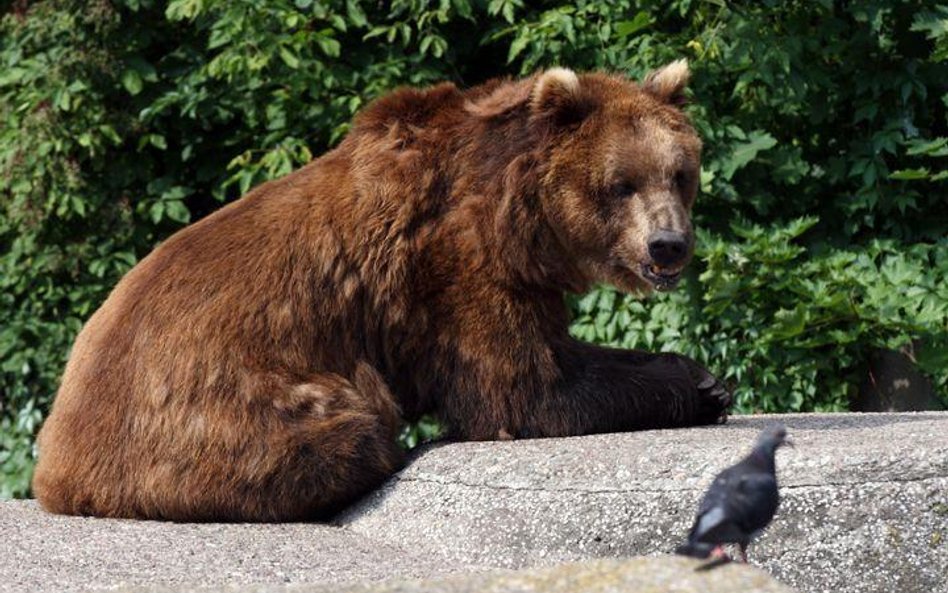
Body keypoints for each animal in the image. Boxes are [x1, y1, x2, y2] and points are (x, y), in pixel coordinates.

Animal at [35, 62, 732, 520]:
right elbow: (526, 390)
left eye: (680, 173)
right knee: (347, 428)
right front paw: (690, 388)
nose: (668, 246)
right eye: (621, 183)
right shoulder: (455, 264)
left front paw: (704, 377)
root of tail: (57, 466)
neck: (521, 216)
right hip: (220, 406)